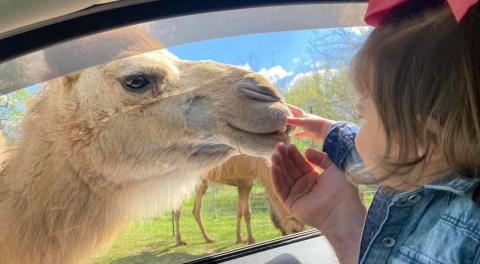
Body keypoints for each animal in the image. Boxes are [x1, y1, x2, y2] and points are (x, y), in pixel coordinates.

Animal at [174, 154, 306, 246]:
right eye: (294, 230)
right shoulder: (243, 180)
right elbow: (247, 213)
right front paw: (251, 239)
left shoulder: (246, 182)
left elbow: (239, 212)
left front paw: (240, 238)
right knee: (177, 209)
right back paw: (180, 241)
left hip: (202, 181)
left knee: (195, 210)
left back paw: (208, 239)